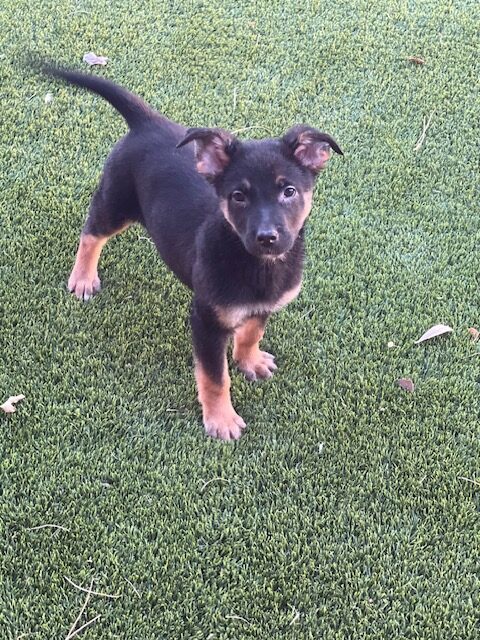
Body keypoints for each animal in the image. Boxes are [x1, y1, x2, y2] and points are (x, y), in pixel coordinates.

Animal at [39, 67, 344, 442]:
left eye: (289, 191)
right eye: (238, 196)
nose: (267, 238)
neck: (258, 265)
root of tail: (148, 122)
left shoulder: (264, 306)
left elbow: (251, 333)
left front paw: (250, 361)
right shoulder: (206, 321)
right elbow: (215, 378)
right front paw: (221, 420)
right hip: (116, 201)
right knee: (91, 234)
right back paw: (83, 278)